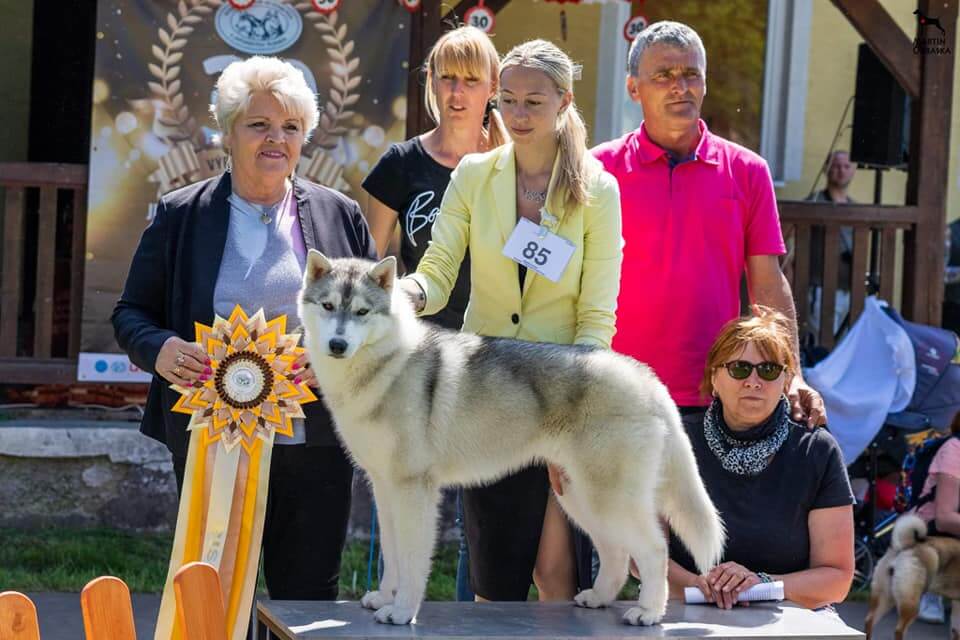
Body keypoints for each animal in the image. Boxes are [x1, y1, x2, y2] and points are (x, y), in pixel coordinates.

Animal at [296, 252, 724, 628]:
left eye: (361, 312)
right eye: (328, 305)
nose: (337, 345)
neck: (386, 365)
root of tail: (645, 376)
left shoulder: (414, 490)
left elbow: (413, 560)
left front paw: (401, 612)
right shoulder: (384, 490)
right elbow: (392, 554)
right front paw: (384, 598)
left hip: (609, 499)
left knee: (654, 550)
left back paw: (649, 613)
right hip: (581, 500)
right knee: (617, 553)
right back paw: (599, 598)